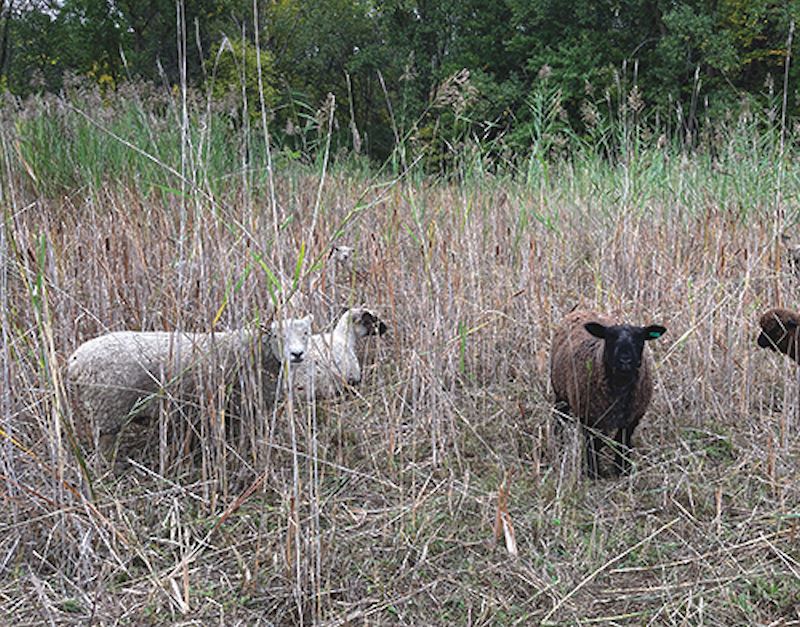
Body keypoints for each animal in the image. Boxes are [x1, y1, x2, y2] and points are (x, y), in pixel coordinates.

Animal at [550, 310, 666, 478]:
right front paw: (593, 472)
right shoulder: (589, 417)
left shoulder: (632, 417)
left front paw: (622, 469)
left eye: (640, 339)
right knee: (559, 418)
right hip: (560, 393)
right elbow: (593, 444)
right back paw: (557, 443)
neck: (620, 384)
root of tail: (581, 310)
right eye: (610, 337)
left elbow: (622, 441)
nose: (625, 360)